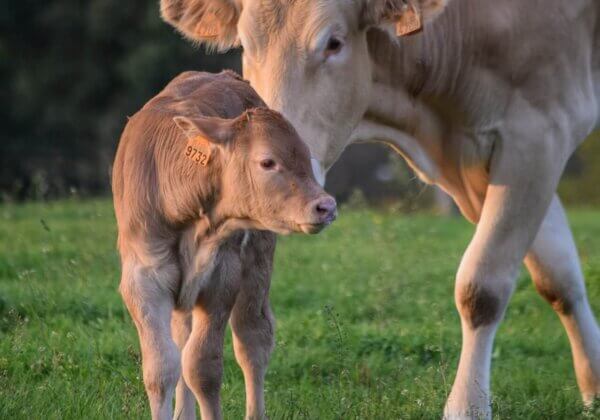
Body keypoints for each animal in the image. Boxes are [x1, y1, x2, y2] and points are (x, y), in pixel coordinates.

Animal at [111, 70, 338, 418]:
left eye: (304, 154)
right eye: (267, 162)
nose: (325, 206)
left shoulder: (222, 277)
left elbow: (202, 367)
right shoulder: (143, 279)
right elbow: (162, 367)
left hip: (258, 259)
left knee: (253, 339)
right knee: (182, 336)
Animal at [159, 0, 600, 418]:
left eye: (334, 43)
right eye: (246, 47)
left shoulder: (539, 131)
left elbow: (482, 287)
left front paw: (467, 407)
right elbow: (559, 278)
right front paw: (594, 387)